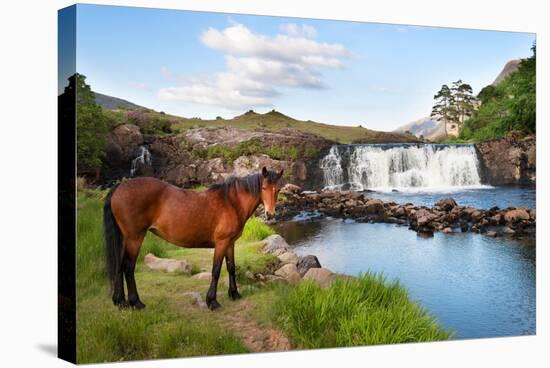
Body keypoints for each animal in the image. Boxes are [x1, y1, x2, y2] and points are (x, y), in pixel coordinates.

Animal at [104, 167, 284, 310]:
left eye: (278, 190)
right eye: (264, 187)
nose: (270, 214)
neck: (232, 202)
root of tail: (120, 187)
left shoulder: (230, 243)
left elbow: (231, 267)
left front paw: (234, 294)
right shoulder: (221, 243)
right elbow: (216, 271)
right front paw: (212, 302)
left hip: (125, 239)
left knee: (119, 266)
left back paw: (121, 302)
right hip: (134, 238)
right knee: (128, 267)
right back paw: (136, 302)